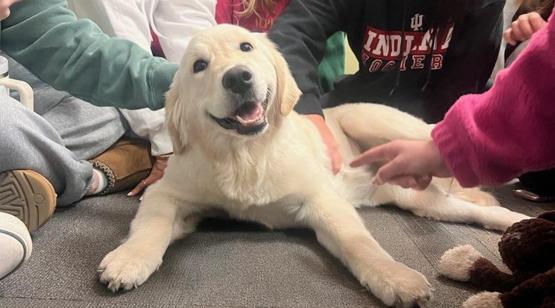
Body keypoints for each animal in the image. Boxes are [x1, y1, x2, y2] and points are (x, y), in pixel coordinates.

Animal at [99, 25, 528, 306]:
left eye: (246, 47)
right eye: (199, 66)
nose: (239, 78)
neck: (245, 155)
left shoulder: (322, 200)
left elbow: (360, 244)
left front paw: (395, 277)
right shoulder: (167, 194)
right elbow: (151, 226)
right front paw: (128, 260)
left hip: (381, 124)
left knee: (447, 155)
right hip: (419, 200)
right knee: (470, 209)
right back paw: (512, 223)